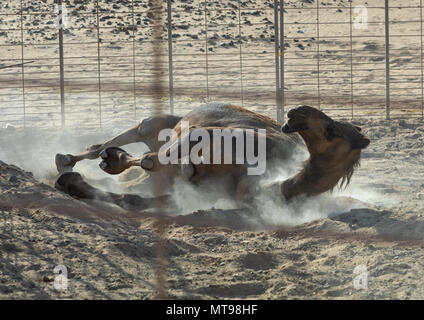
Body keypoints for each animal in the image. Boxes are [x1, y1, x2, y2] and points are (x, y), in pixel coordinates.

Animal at [54, 102, 370, 211]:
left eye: (331, 130)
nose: (296, 113)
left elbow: (137, 197)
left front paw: (71, 183)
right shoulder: (209, 134)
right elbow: (154, 160)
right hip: (162, 122)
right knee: (132, 135)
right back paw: (72, 158)